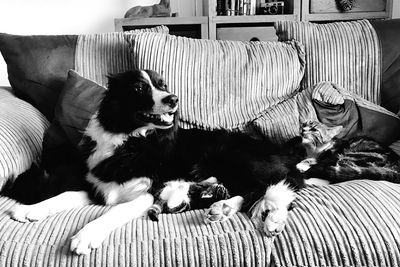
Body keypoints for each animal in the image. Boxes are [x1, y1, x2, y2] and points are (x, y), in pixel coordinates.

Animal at [7, 70, 304, 256]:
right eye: (139, 88)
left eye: (163, 85)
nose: (174, 99)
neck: (129, 140)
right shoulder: (98, 186)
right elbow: (65, 194)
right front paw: (30, 210)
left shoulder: (149, 192)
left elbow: (113, 212)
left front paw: (86, 236)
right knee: (253, 190)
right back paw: (224, 208)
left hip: (233, 156)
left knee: (278, 186)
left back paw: (273, 219)